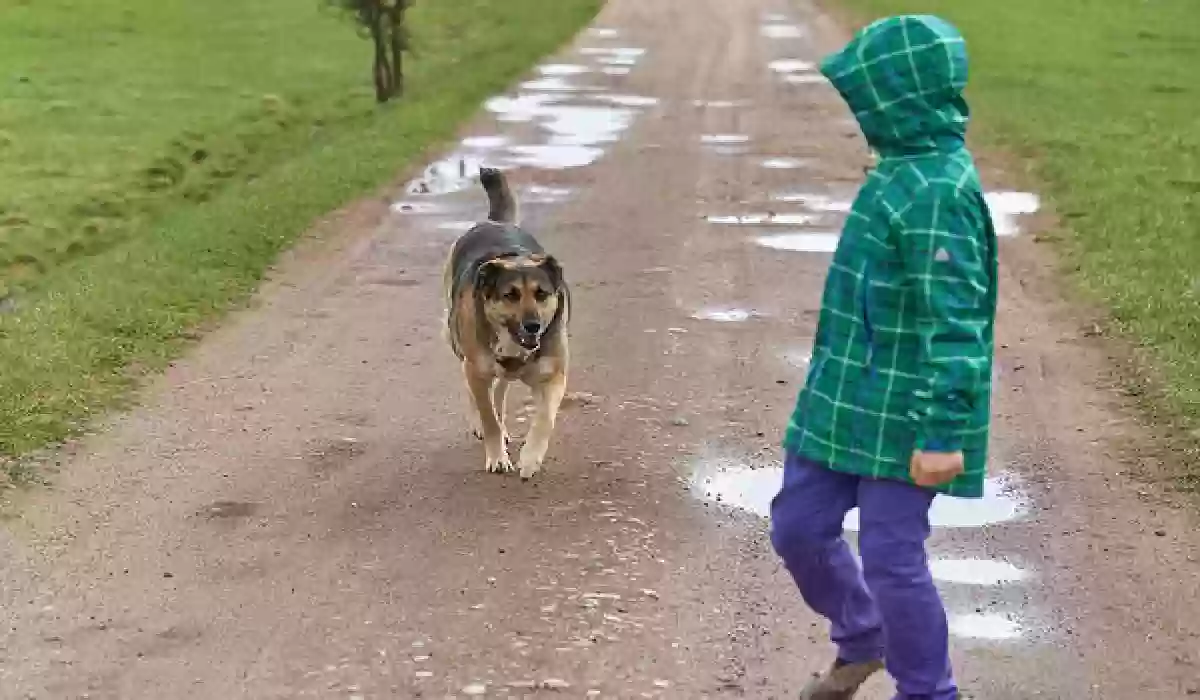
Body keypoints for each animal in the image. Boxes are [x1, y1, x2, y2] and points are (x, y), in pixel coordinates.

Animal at [444, 166, 568, 480]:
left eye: (541, 293)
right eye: (510, 295)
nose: (533, 326)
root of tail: (494, 222)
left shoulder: (553, 375)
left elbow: (545, 418)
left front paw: (530, 459)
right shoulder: (476, 368)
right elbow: (487, 415)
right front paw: (497, 455)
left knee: (499, 389)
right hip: (457, 344)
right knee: (480, 391)